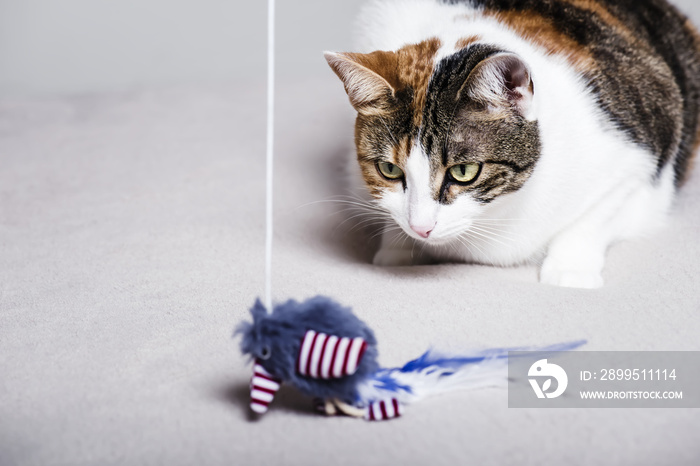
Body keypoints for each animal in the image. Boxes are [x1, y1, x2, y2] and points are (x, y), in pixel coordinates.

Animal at [326, 0, 700, 288]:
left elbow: (596, 215)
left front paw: (570, 270)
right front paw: (397, 249)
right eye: (389, 169)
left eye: (464, 171)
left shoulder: (640, 151)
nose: (422, 228)